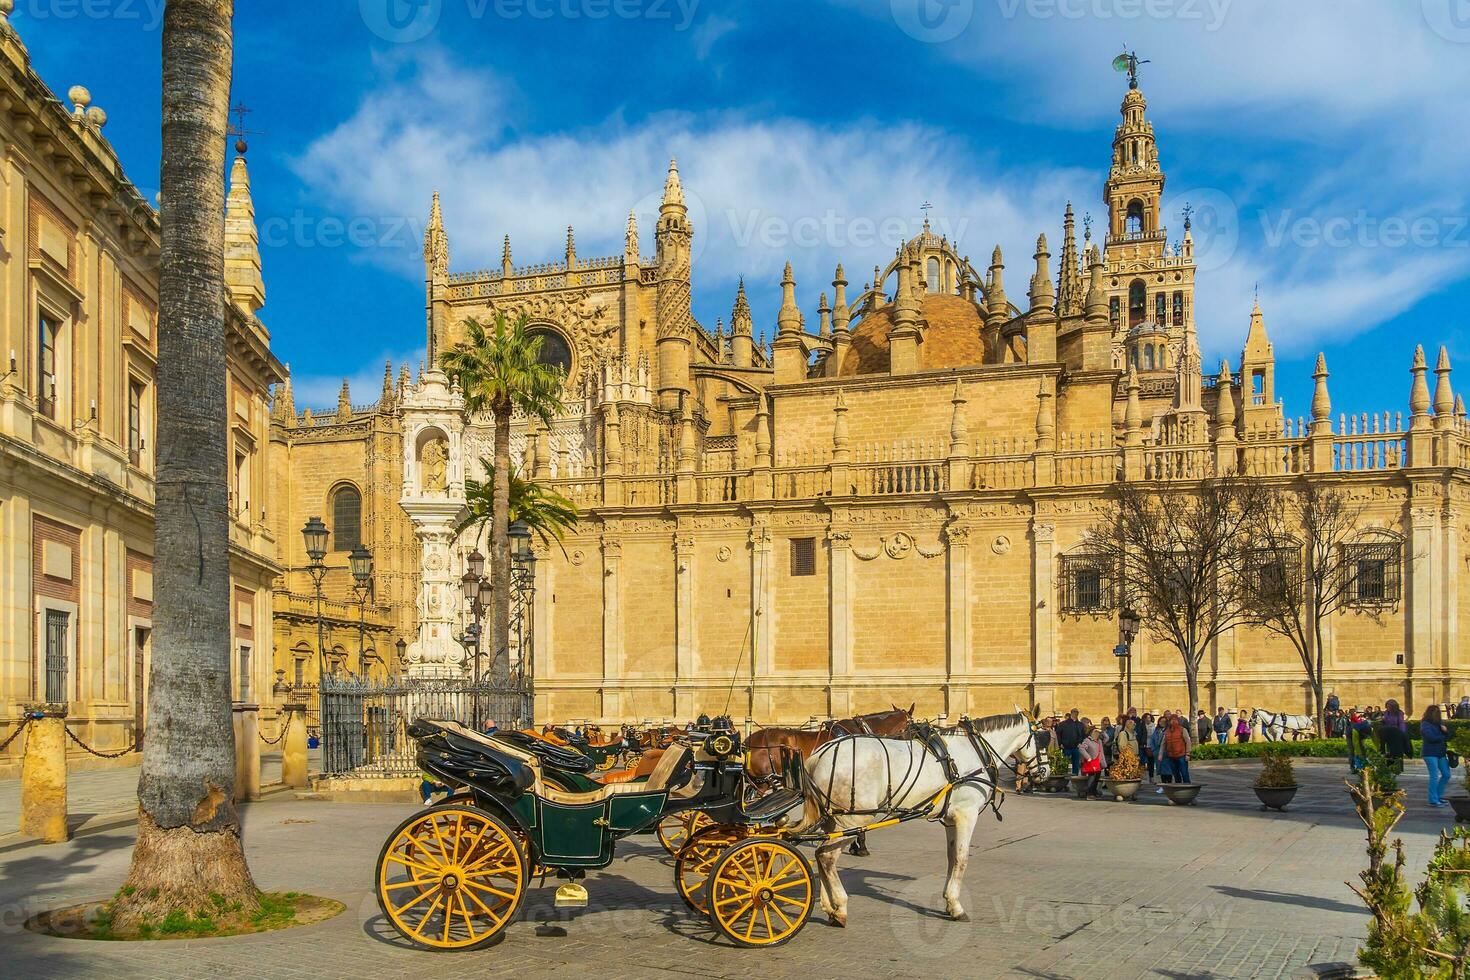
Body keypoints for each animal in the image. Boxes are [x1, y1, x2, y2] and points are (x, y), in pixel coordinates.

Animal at [793, 714, 1046, 928]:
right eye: (1043, 739)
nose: (1044, 771)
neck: (975, 751)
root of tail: (817, 756)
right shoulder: (966, 814)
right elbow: (962, 859)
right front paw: (957, 907)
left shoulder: (951, 818)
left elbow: (951, 857)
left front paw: (948, 902)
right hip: (853, 819)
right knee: (826, 856)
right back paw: (841, 908)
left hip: (832, 820)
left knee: (821, 855)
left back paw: (830, 908)